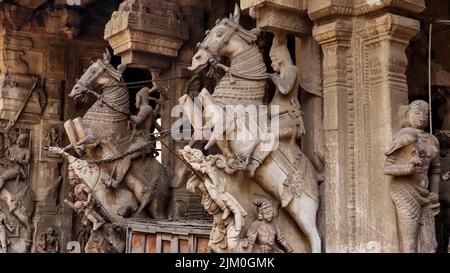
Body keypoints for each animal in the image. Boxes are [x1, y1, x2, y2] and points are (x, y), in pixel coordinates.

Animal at [62, 50, 170, 218]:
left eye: (93, 70)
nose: (75, 90)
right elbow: (71, 130)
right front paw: (65, 149)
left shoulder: (98, 140)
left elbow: (85, 138)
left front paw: (76, 148)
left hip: (157, 203)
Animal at [181, 6, 322, 252]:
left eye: (219, 34)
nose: (197, 60)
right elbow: (195, 103)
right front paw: (198, 146)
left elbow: (216, 113)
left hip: (304, 208)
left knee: (315, 238)